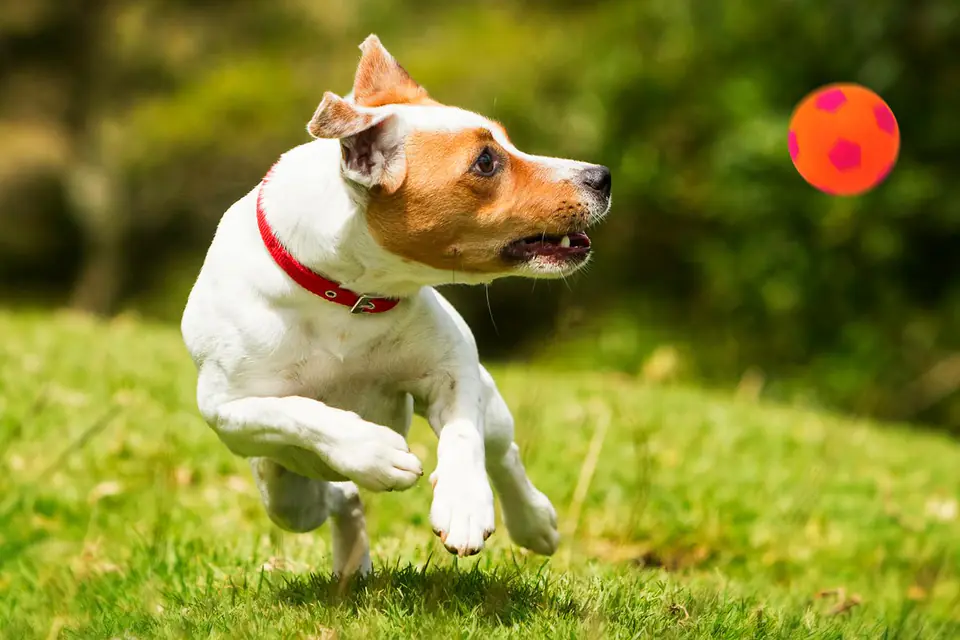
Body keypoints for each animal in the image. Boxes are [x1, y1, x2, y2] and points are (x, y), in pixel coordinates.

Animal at [184, 33, 612, 576]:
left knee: (503, 451)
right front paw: (372, 450)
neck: (347, 295)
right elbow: (297, 410)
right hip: (286, 498)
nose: (602, 176)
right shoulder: (226, 409)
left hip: (491, 405)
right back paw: (352, 563)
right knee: (336, 498)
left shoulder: (454, 366)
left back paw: (533, 521)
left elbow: (464, 436)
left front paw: (464, 504)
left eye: (508, 142)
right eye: (485, 161)